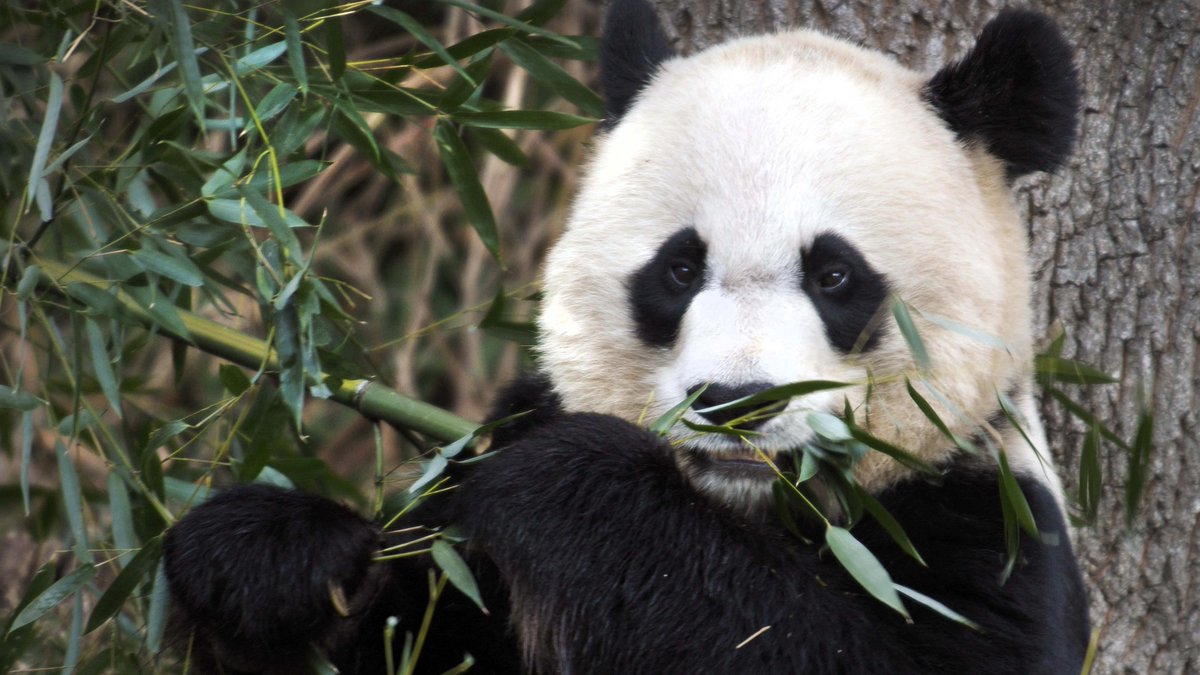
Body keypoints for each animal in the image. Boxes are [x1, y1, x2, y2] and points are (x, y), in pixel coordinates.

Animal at [163, 1, 1090, 673]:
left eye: (834, 275)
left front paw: (570, 480)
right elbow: (399, 627)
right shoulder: (476, 543)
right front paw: (277, 561)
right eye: (679, 269)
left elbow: (802, 645)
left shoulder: (985, 519)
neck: (735, 510)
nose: (734, 403)